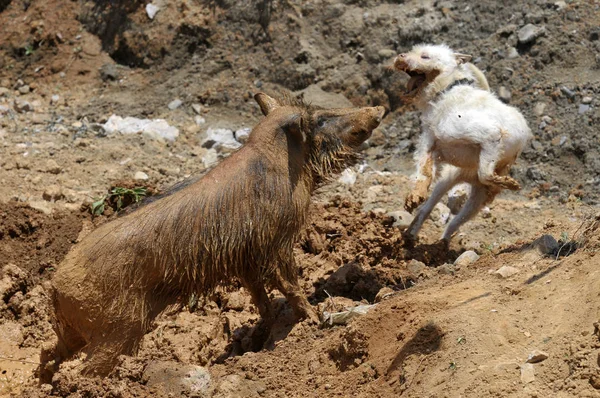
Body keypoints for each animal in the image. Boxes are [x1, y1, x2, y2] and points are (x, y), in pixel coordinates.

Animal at [394, 44, 536, 243]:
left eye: (425, 56)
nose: (400, 56)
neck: (446, 92)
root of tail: (467, 177)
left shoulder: (490, 134)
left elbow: (485, 173)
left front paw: (508, 183)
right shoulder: (430, 144)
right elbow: (423, 172)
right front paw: (416, 194)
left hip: (476, 200)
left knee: (456, 220)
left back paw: (441, 242)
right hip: (447, 182)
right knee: (427, 209)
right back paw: (415, 235)